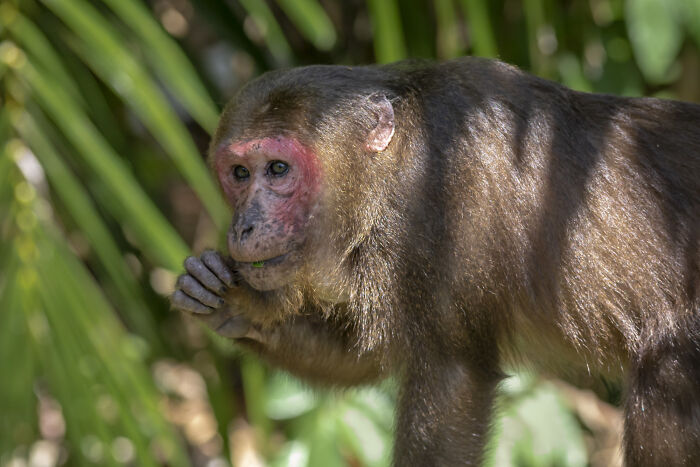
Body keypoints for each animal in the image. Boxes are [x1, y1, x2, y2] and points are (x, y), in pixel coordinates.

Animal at [170, 57, 700, 466]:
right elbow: (368, 356)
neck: (390, 169)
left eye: (278, 169)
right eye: (240, 173)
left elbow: (453, 378)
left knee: (668, 373)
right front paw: (231, 301)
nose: (244, 226)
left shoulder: (443, 202)